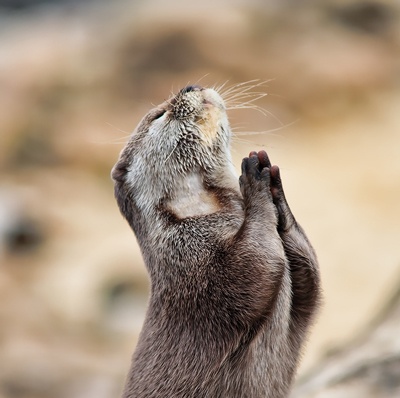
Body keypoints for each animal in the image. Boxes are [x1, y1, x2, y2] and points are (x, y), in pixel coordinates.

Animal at [111, 84, 322, 398]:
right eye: (160, 114)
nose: (190, 86)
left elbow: (310, 280)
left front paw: (275, 190)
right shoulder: (192, 263)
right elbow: (255, 266)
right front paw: (254, 181)